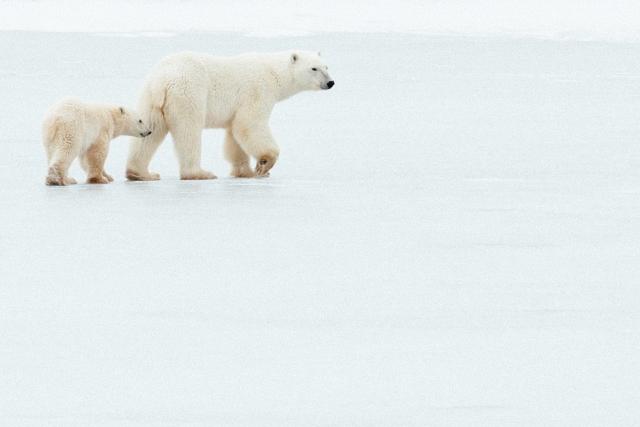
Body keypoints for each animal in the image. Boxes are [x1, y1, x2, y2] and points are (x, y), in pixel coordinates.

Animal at [125, 50, 334, 181]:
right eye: (314, 68)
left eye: (326, 66)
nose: (330, 82)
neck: (273, 73)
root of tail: (163, 79)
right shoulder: (257, 91)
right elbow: (250, 124)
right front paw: (265, 164)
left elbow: (235, 135)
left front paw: (246, 171)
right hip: (189, 92)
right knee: (189, 132)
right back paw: (199, 173)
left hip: (150, 98)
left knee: (149, 131)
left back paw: (140, 173)